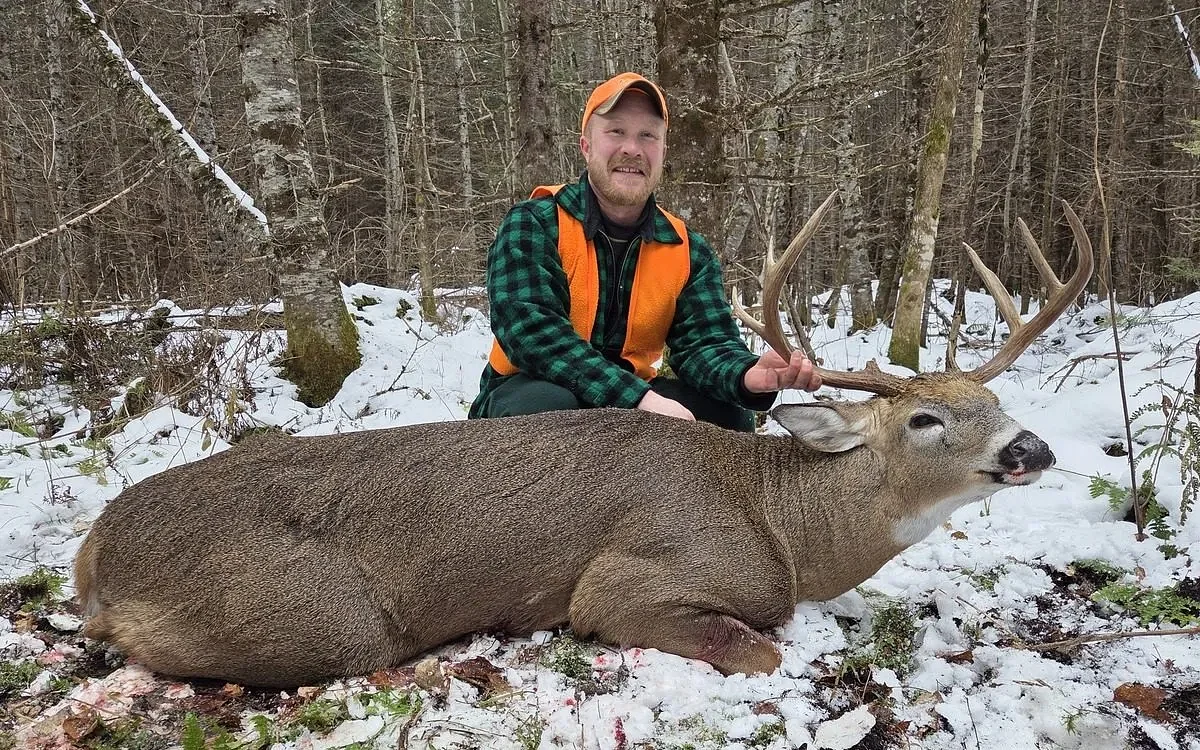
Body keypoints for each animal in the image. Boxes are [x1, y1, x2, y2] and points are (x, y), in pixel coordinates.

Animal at [73, 195, 1094, 688]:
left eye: (993, 397)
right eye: (926, 419)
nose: (1034, 449)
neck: (785, 530)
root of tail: (92, 552)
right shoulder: (626, 582)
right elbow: (759, 648)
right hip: (322, 619)